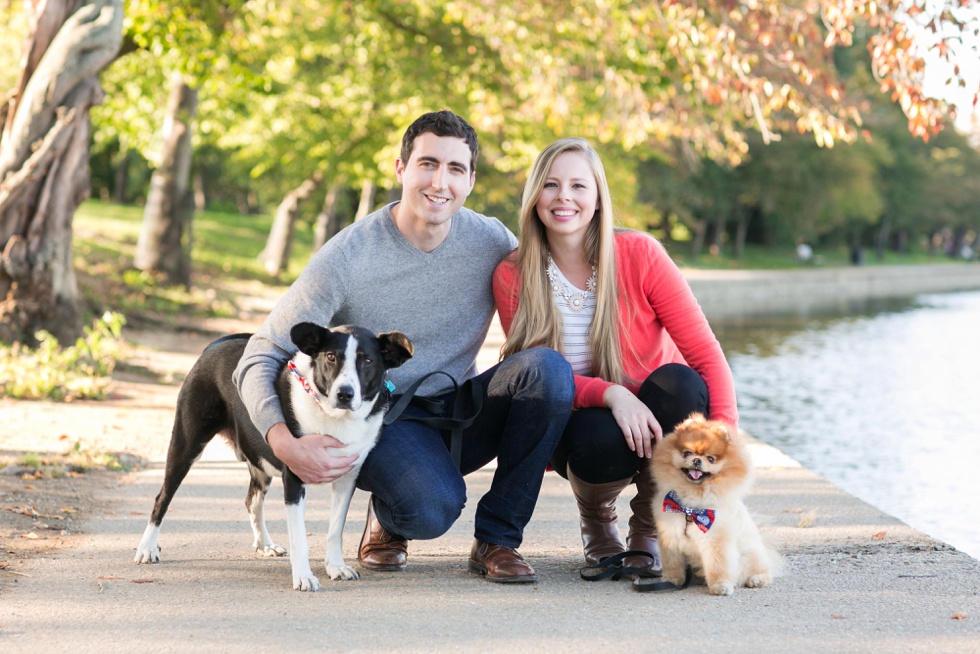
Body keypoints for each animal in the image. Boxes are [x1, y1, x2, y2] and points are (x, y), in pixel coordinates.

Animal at [135, 324, 414, 596]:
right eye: (331, 357)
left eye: (367, 360)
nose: (345, 394)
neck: (333, 418)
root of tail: (216, 343)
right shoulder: (295, 477)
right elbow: (300, 537)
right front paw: (303, 577)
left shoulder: (347, 480)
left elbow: (335, 529)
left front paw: (335, 566)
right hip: (187, 445)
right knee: (162, 498)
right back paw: (148, 547)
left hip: (259, 460)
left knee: (252, 500)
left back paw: (265, 544)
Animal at [652, 418, 780, 596]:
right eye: (687, 453)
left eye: (711, 459)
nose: (697, 460)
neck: (690, 507)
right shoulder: (670, 534)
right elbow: (672, 563)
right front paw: (671, 580)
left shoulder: (715, 540)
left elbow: (718, 566)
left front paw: (720, 586)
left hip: (750, 555)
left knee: (763, 571)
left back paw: (756, 579)